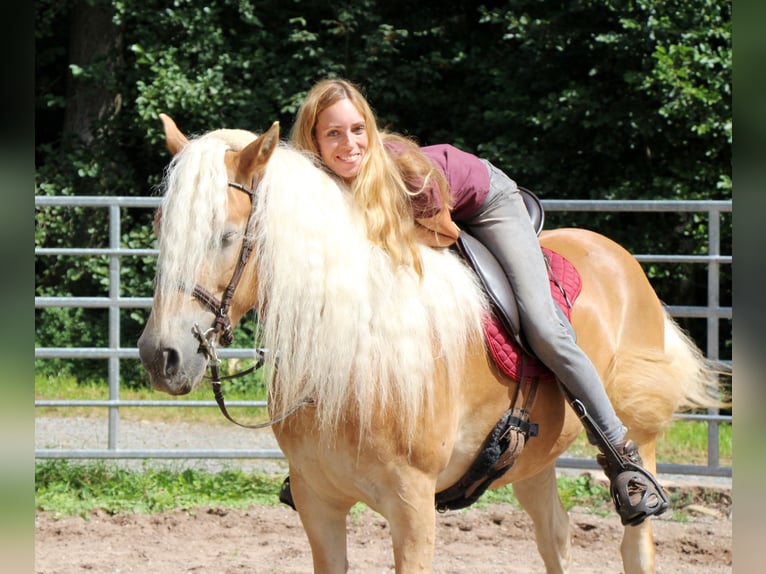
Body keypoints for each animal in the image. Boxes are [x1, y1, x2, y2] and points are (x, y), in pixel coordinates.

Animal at [138, 117, 720, 574]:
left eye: (226, 235)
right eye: (161, 226)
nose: (161, 356)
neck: (354, 351)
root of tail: (619, 258)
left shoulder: (413, 509)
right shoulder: (317, 503)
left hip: (637, 434)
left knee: (635, 545)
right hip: (534, 462)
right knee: (554, 538)